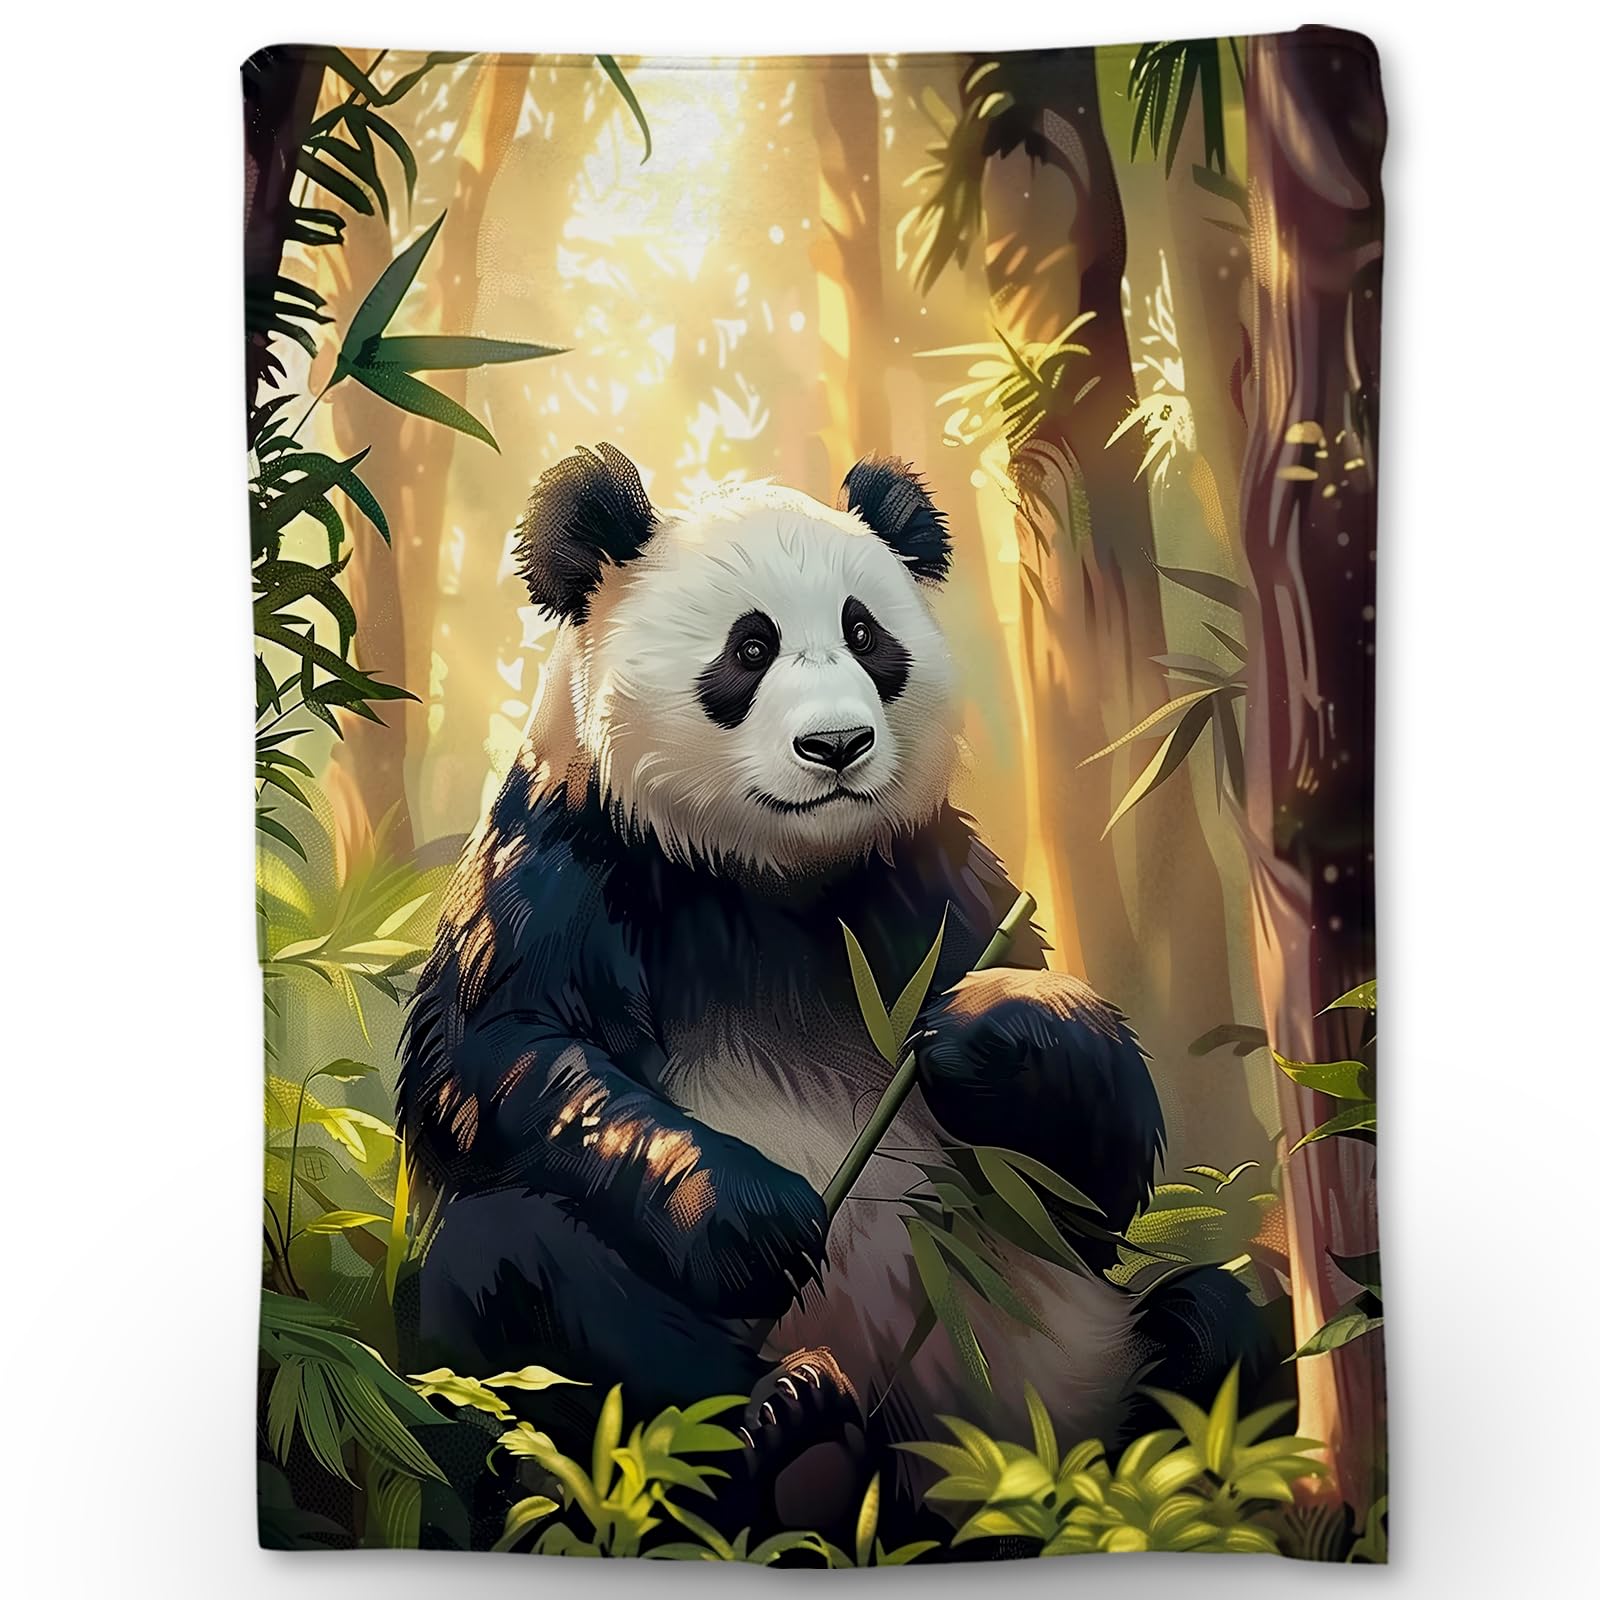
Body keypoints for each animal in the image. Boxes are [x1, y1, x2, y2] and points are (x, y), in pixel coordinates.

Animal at [396, 443, 1265, 1540]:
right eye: (749, 647)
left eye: (864, 633)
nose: (839, 746)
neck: (767, 872)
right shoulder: (565, 854)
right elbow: (493, 1055)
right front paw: (752, 1214)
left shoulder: (926, 881)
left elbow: (1085, 1185)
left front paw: (980, 1035)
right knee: (513, 1267)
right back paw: (778, 1427)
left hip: (1075, 1375)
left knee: (1214, 1335)